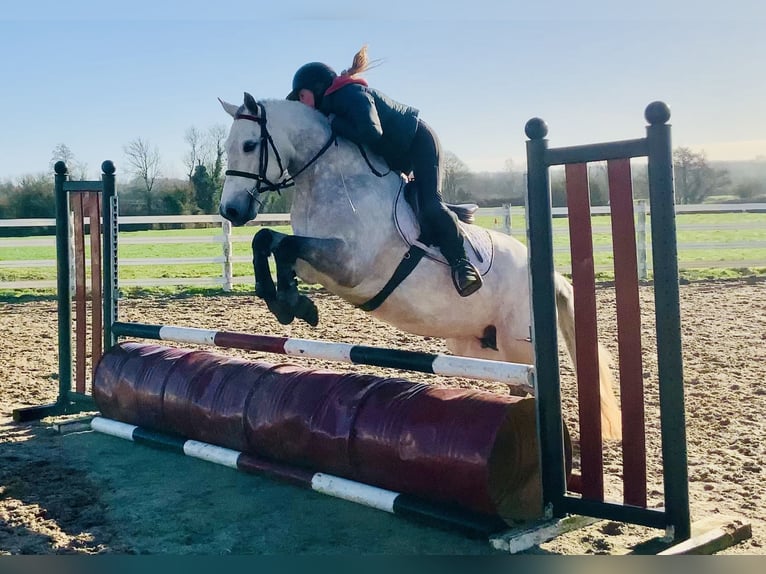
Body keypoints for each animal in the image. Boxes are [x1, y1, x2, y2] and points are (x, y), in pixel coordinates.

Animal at [217, 92, 622, 440]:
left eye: (249, 146)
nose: (231, 211)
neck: (332, 178)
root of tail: (550, 275)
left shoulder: (348, 264)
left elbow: (282, 244)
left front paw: (292, 302)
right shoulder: (316, 265)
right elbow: (268, 241)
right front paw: (288, 302)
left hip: (517, 342)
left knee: (531, 384)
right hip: (476, 345)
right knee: (516, 383)